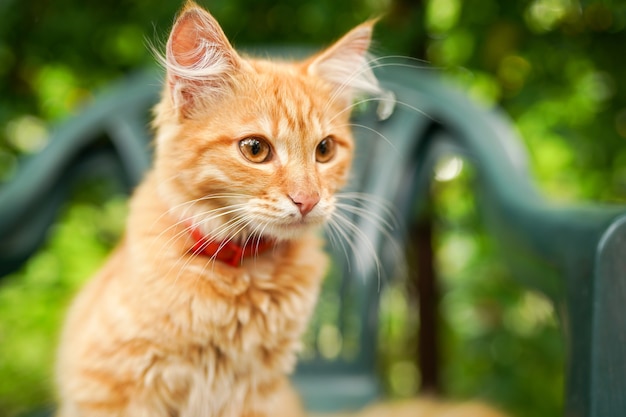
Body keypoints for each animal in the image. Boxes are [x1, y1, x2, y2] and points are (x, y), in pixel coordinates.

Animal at [56, 3, 508, 416]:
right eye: (255, 149)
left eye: (324, 150)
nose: (307, 200)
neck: (243, 275)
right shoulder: (110, 389)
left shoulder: (258, 397)